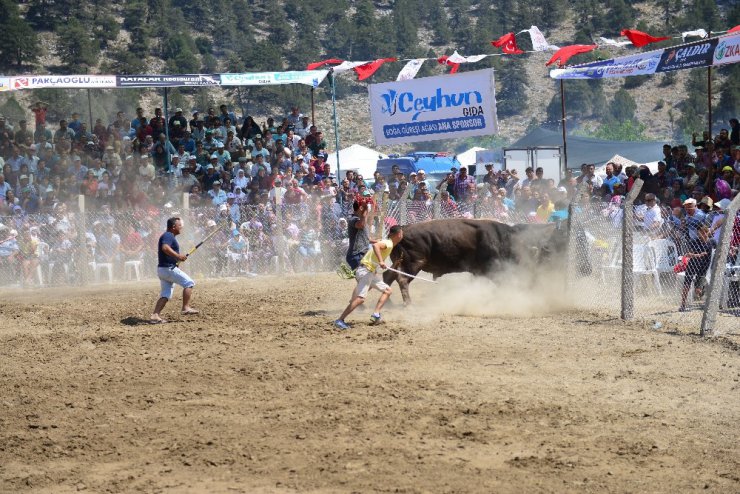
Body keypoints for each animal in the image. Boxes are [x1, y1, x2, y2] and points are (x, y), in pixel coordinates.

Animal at [382, 217, 588, 302]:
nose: (585, 268)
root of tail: (403, 228)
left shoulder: (479, 272)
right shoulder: (493, 272)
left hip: (399, 264)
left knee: (387, 277)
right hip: (412, 265)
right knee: (401, 280)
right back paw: (408, 303)